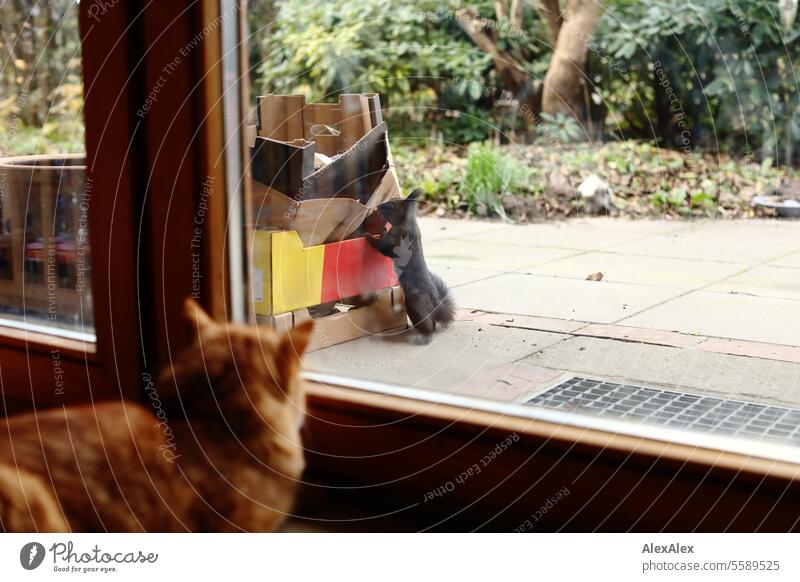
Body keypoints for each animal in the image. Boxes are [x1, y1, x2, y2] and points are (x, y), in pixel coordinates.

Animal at [364, 189, 454, 342]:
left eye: (390, 207)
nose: (378, 206)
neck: (405, 223)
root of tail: (435, 303)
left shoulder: (396, 241)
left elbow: (383, 248)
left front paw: (367, 235)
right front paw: (381, 229)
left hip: (415, 304)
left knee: (428, 325)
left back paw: (423, 336)